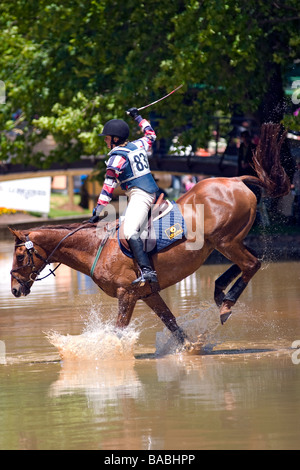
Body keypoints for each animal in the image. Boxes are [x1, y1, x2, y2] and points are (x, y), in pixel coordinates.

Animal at [9, 124, 290, 346]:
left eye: (20, 256)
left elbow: (118, 331)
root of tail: (236, 180)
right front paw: (189, 350)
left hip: (226, 241)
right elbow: (173, 325)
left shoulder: (127, 294)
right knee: (249, 261)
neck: (95, 247)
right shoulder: (147, 294)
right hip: (229, 241)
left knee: (251, 264)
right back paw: (220, 291)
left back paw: (227, 304)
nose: (13, 289)